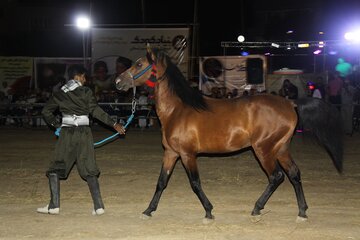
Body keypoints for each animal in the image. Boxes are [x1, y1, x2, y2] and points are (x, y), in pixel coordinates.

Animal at [116, 45, 344, 221]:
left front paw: (209, 212)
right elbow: (161, 182)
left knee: (276, 176)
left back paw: (257, 208)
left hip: (264, 149)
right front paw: (148, 210)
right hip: (281, 148)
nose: (118, 81)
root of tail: (290, 103)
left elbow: (195, 183)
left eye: (139, 64)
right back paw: (302, 212)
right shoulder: (171, 153)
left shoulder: (188, 155)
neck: (178, 110)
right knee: (294, 174)